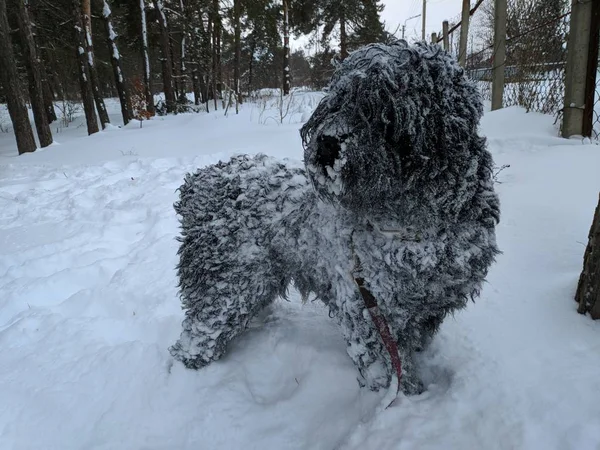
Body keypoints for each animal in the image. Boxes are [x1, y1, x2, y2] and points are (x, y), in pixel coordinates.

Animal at [170, 41, 502, 394]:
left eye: (384, 109)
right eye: (338, 100)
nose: (328, 144)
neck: (418, 229)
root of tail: (200, 183)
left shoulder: (430, 306)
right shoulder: (369, 312)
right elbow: (391, 370)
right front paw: (406, 397)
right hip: (230, 285)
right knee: (199, 333)